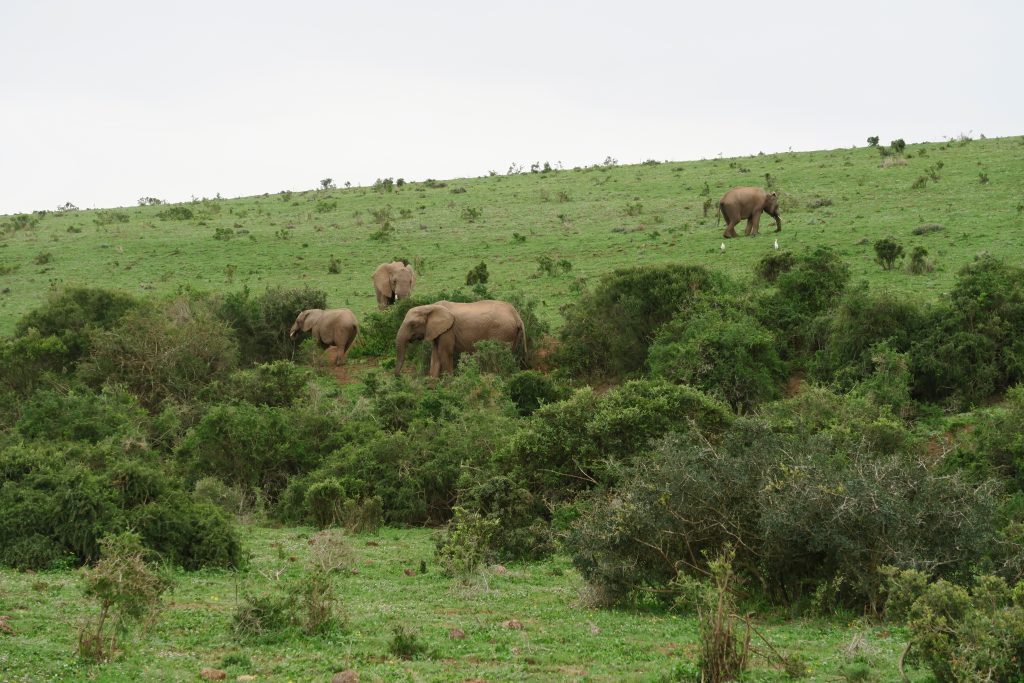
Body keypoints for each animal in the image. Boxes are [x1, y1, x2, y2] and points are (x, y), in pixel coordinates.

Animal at [395, 299, 528, 376]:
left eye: (413, 324)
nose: (398, 376)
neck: (429, 307)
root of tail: (517, 316)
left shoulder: (448, 330)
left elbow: (444, 354)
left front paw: (448, 389)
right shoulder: (438, 331)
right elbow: (435, 356)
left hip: (501, 332)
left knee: (496, 357)